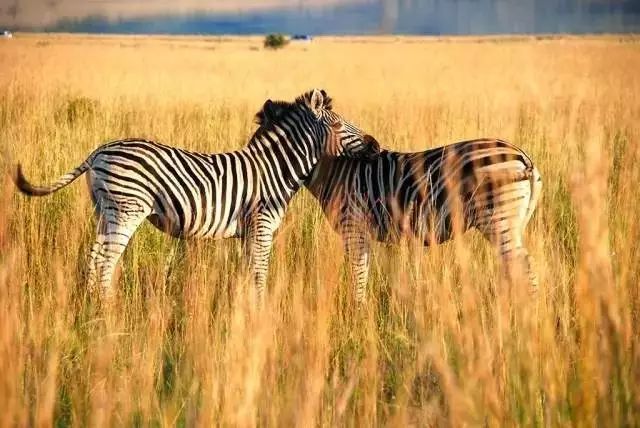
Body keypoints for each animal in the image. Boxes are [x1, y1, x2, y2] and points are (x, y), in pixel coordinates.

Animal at [13, 88, 380, 300]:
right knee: (105, 262)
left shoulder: (248, 233)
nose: (376, 145)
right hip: (126, 210)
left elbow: (249, 273)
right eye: (338, 125)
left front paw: (244, 311)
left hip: (105, 211)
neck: (275, 169)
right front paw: (261, 315)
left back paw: (91, 309)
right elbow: (261, 273)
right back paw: (106, 314)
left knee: (93, 258)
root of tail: (100, 150)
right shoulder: (261, 227)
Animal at [302, 137, 544, 300]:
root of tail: (524, 158)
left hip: (498, 219)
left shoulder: (353, 226)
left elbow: (358, 271)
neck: (335, 170)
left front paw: (357, 314)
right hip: (512, 222)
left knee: (523, 265)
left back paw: (528, 313)